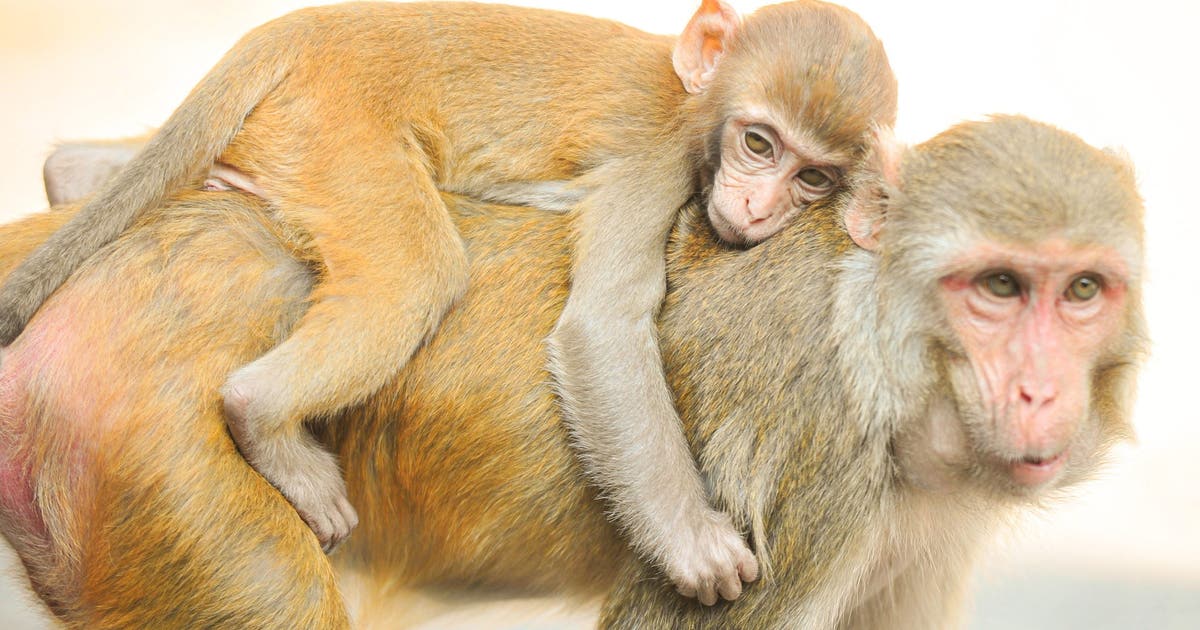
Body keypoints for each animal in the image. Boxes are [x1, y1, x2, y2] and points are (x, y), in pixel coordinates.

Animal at [0, 1, 898, 601]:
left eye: (813, 177)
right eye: (759, 143)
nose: (759, 206)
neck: (698, 97)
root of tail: (302, 27)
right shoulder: (661, 157)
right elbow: (602, 327)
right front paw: (694, 546)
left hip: (286, 133)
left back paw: (76, 177)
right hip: (338, 126)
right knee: (417, 273)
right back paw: (261, 416)